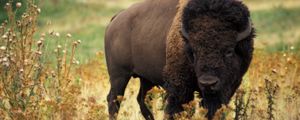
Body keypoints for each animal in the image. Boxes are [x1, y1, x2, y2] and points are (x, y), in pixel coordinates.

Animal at [104, 0, 254, 119]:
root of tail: (117, 18)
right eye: (194, 51)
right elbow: (175, 110)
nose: (208, 82)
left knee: (142, 99)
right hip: (119, 76)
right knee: (114, 100)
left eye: (229, 51)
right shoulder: (180, 88)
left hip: (146, 79)